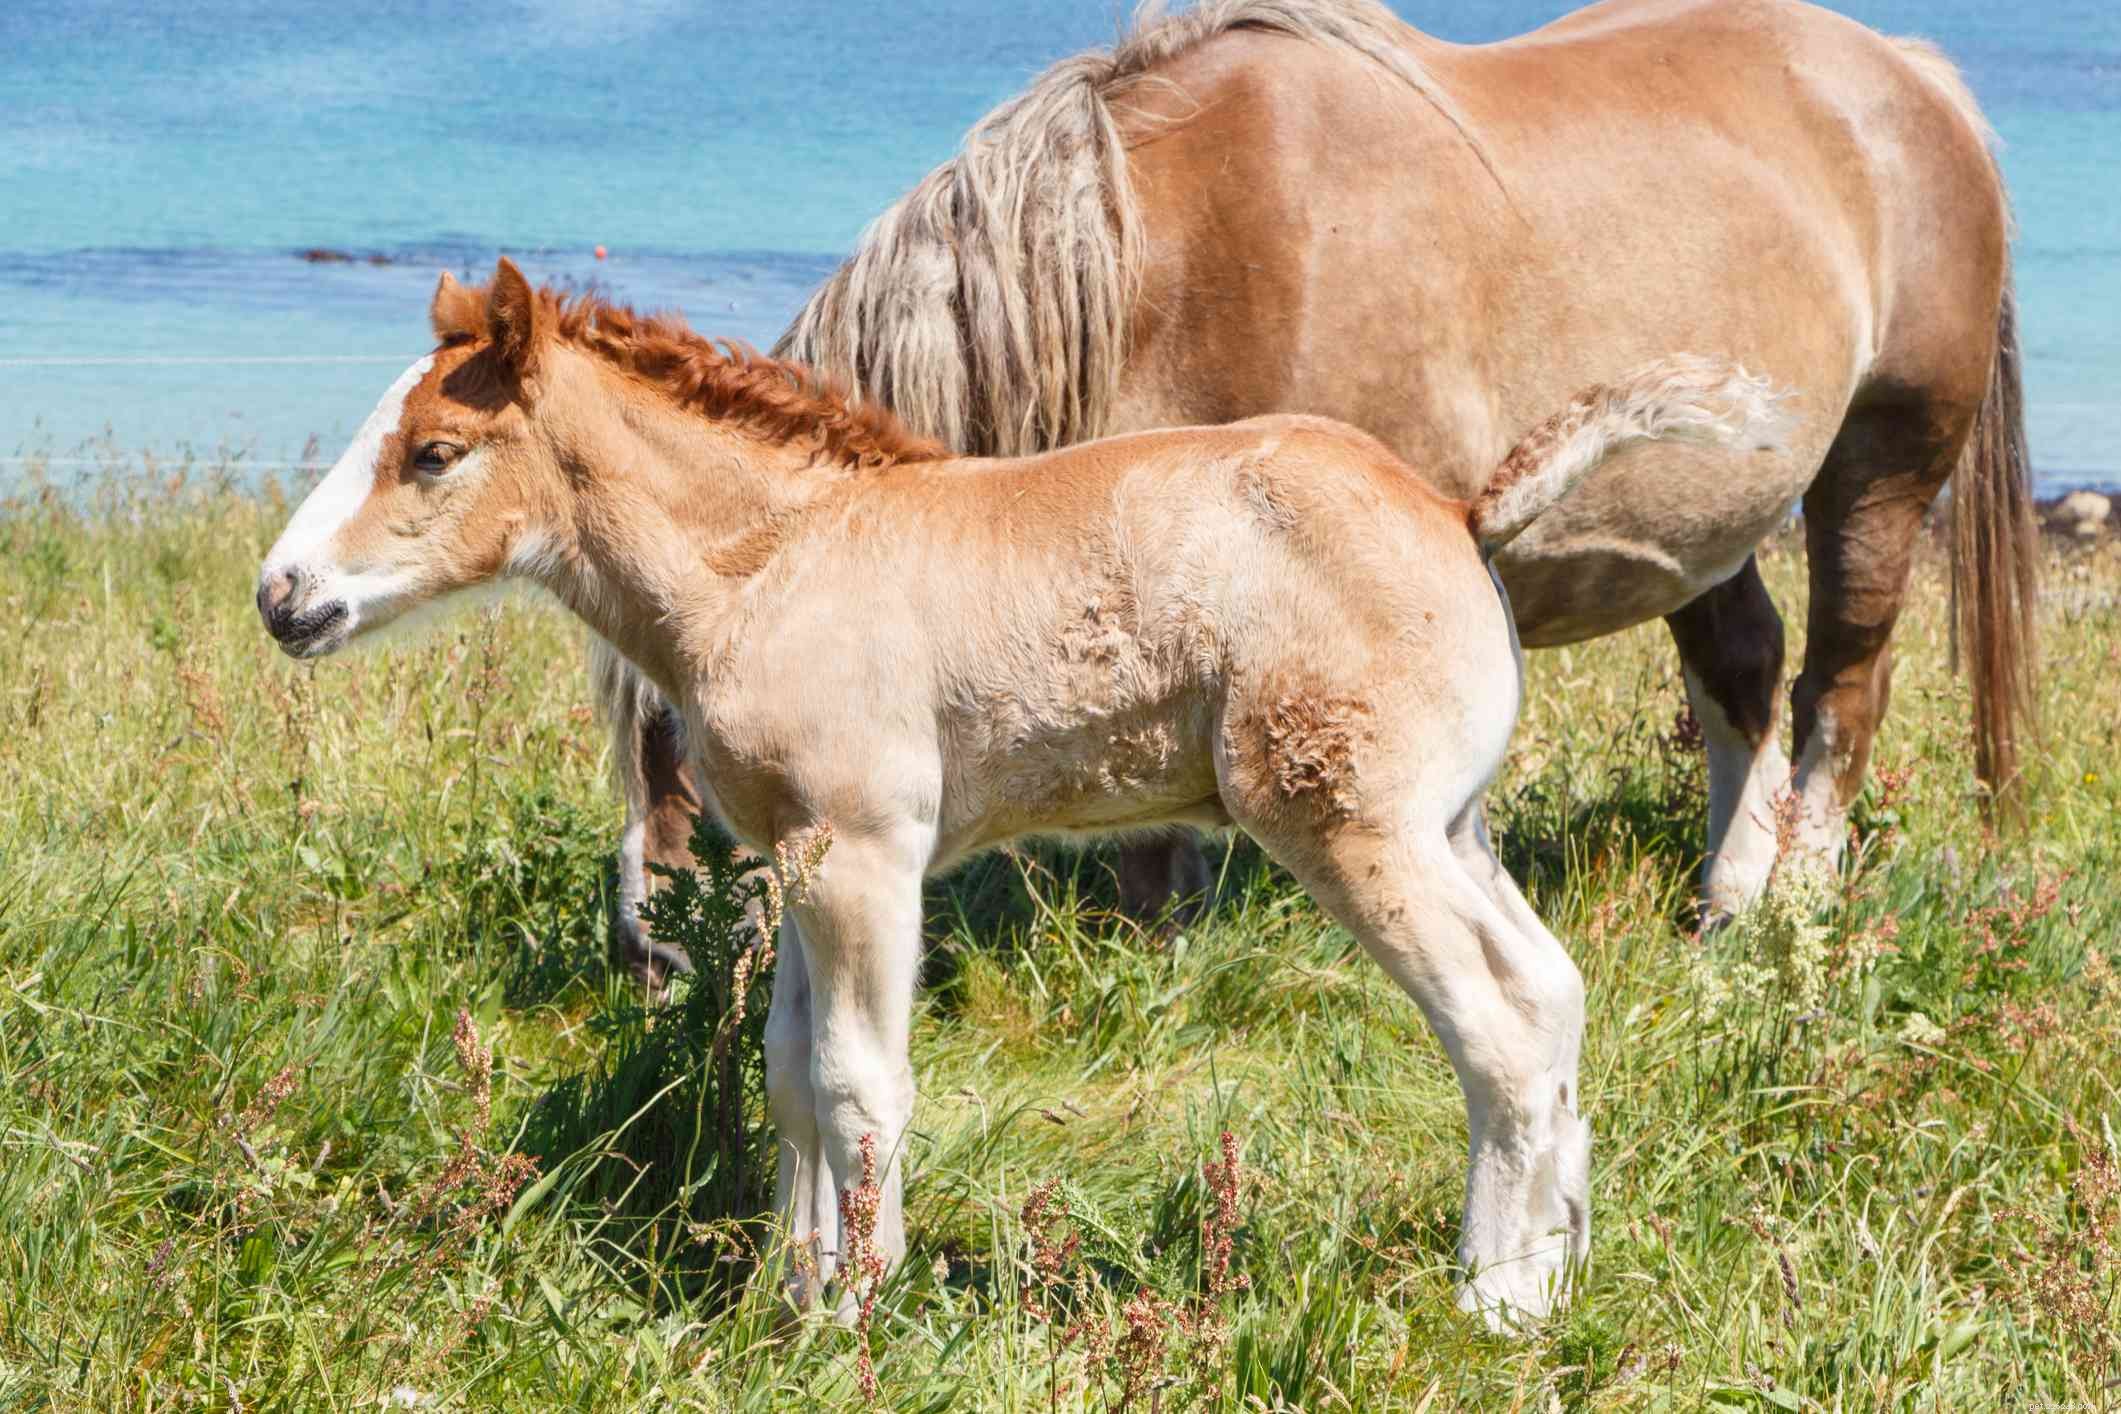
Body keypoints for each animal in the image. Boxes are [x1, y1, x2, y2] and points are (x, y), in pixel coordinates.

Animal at [253, 260, 1783, 1323]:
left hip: (1349, 827)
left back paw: (1495, 1304)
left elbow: (861, 1079)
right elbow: (792, 1075)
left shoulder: (867, 851)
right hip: (1445, 824)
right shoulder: (797, 857)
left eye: (433, 454)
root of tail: (1458, 513)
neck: (774, 560)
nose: (282, 595)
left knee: (1499, 1028)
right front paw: (783, 1302)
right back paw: (1556, 1267)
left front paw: (857, 1315)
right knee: (1552, 991)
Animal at [602, 0, 2035, 986]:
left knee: (1843, 678)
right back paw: (1727, 897)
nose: (650, 951)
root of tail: (1911, 75)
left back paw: (1798, 896)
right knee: (1744, 666)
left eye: (692, 726)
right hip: (1695, 513)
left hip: (1884, 463)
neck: (1188, 262)